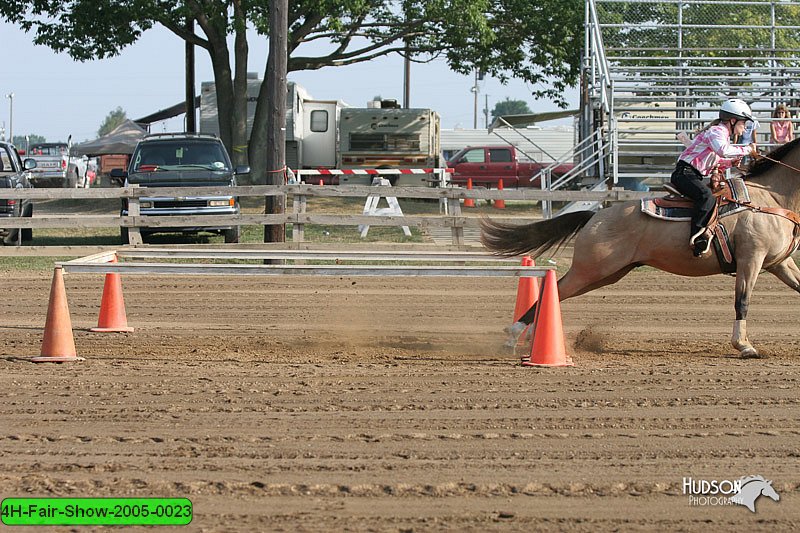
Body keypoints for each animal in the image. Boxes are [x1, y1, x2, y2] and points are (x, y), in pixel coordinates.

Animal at [478, 136, 800, 358]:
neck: (771, 199)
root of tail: (595, 216)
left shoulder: (778, 263)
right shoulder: (751, 260)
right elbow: (742, 301)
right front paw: (744, 346)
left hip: (607, 274)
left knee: (556, 291)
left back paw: (528, 338)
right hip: (591, 270)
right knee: (554, 288)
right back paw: (512, 337)